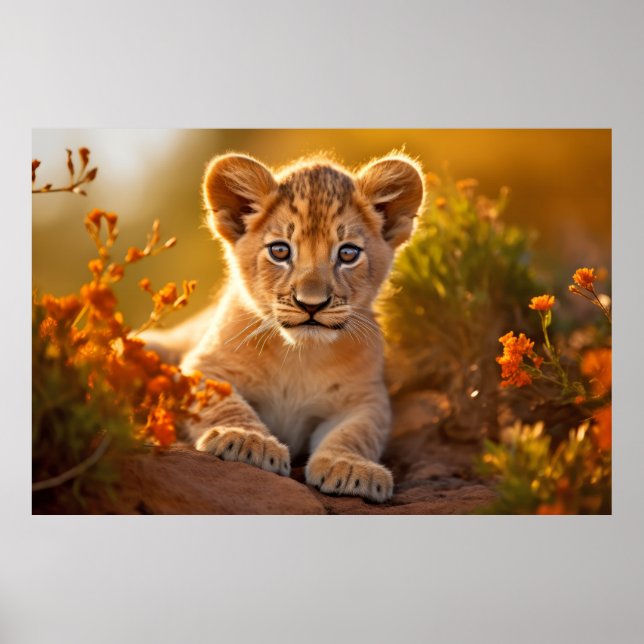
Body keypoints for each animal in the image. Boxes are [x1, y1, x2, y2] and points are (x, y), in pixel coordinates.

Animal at [145, 152, 424, 502]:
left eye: (348, 253)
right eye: (280, 250)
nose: (311, 304)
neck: (299, 354)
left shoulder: (365, 398)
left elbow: (356, 432)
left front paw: (350, 468)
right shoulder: (204, 366)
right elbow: (224, 402)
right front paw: (247, 440)